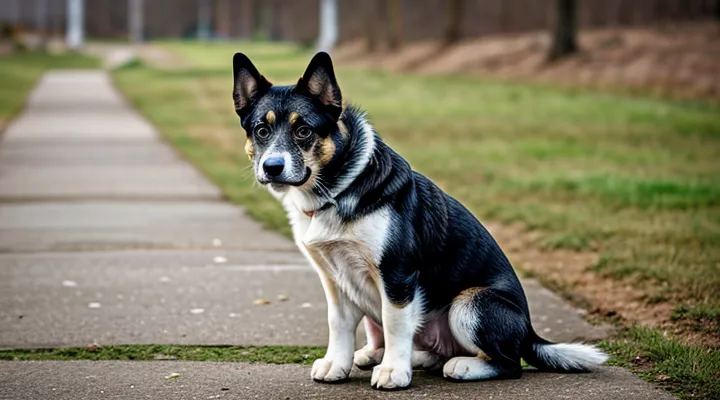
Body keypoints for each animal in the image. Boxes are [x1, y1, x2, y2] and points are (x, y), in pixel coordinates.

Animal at [232, 51, 608, 390]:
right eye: (261, 130)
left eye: (304, 131)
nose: (272, 167)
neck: (339, 188)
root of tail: (530, 333)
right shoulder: (335, 281)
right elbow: (338, 325)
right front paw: (337, 365)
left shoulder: (397, 275)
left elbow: (396, 325)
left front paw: (394, 373)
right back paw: (387, 356)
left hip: (470, 304)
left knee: (508, 363)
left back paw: (461, 366)